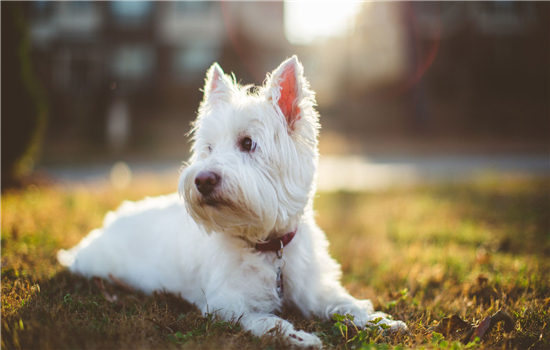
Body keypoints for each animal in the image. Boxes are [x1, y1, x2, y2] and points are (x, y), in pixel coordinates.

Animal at [58, 56, 408, 346]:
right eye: (209, 148)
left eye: (248, 143)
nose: (202, 180)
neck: (267, 245)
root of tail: (108, 222)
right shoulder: (227, 305)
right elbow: (268, 321)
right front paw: (300, 337)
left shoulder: (315, 288)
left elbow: (345, 303)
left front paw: (380, 321)